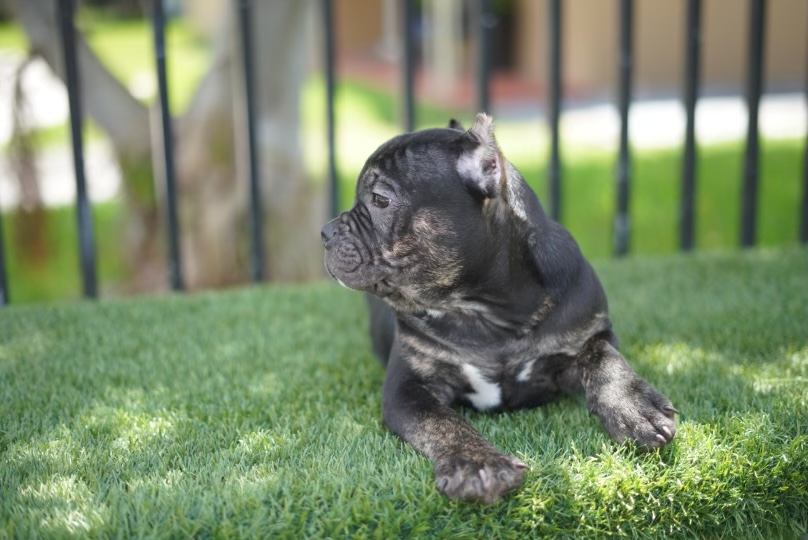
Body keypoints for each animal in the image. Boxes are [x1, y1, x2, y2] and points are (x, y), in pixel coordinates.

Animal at [321, 114, 677, 503]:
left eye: (380, 200)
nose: (325, 232)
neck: (486, 311)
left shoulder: (587, 329)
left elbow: (603, 357)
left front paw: (634, 408)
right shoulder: (408, 387)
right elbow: (443, 423)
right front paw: (479, 465)